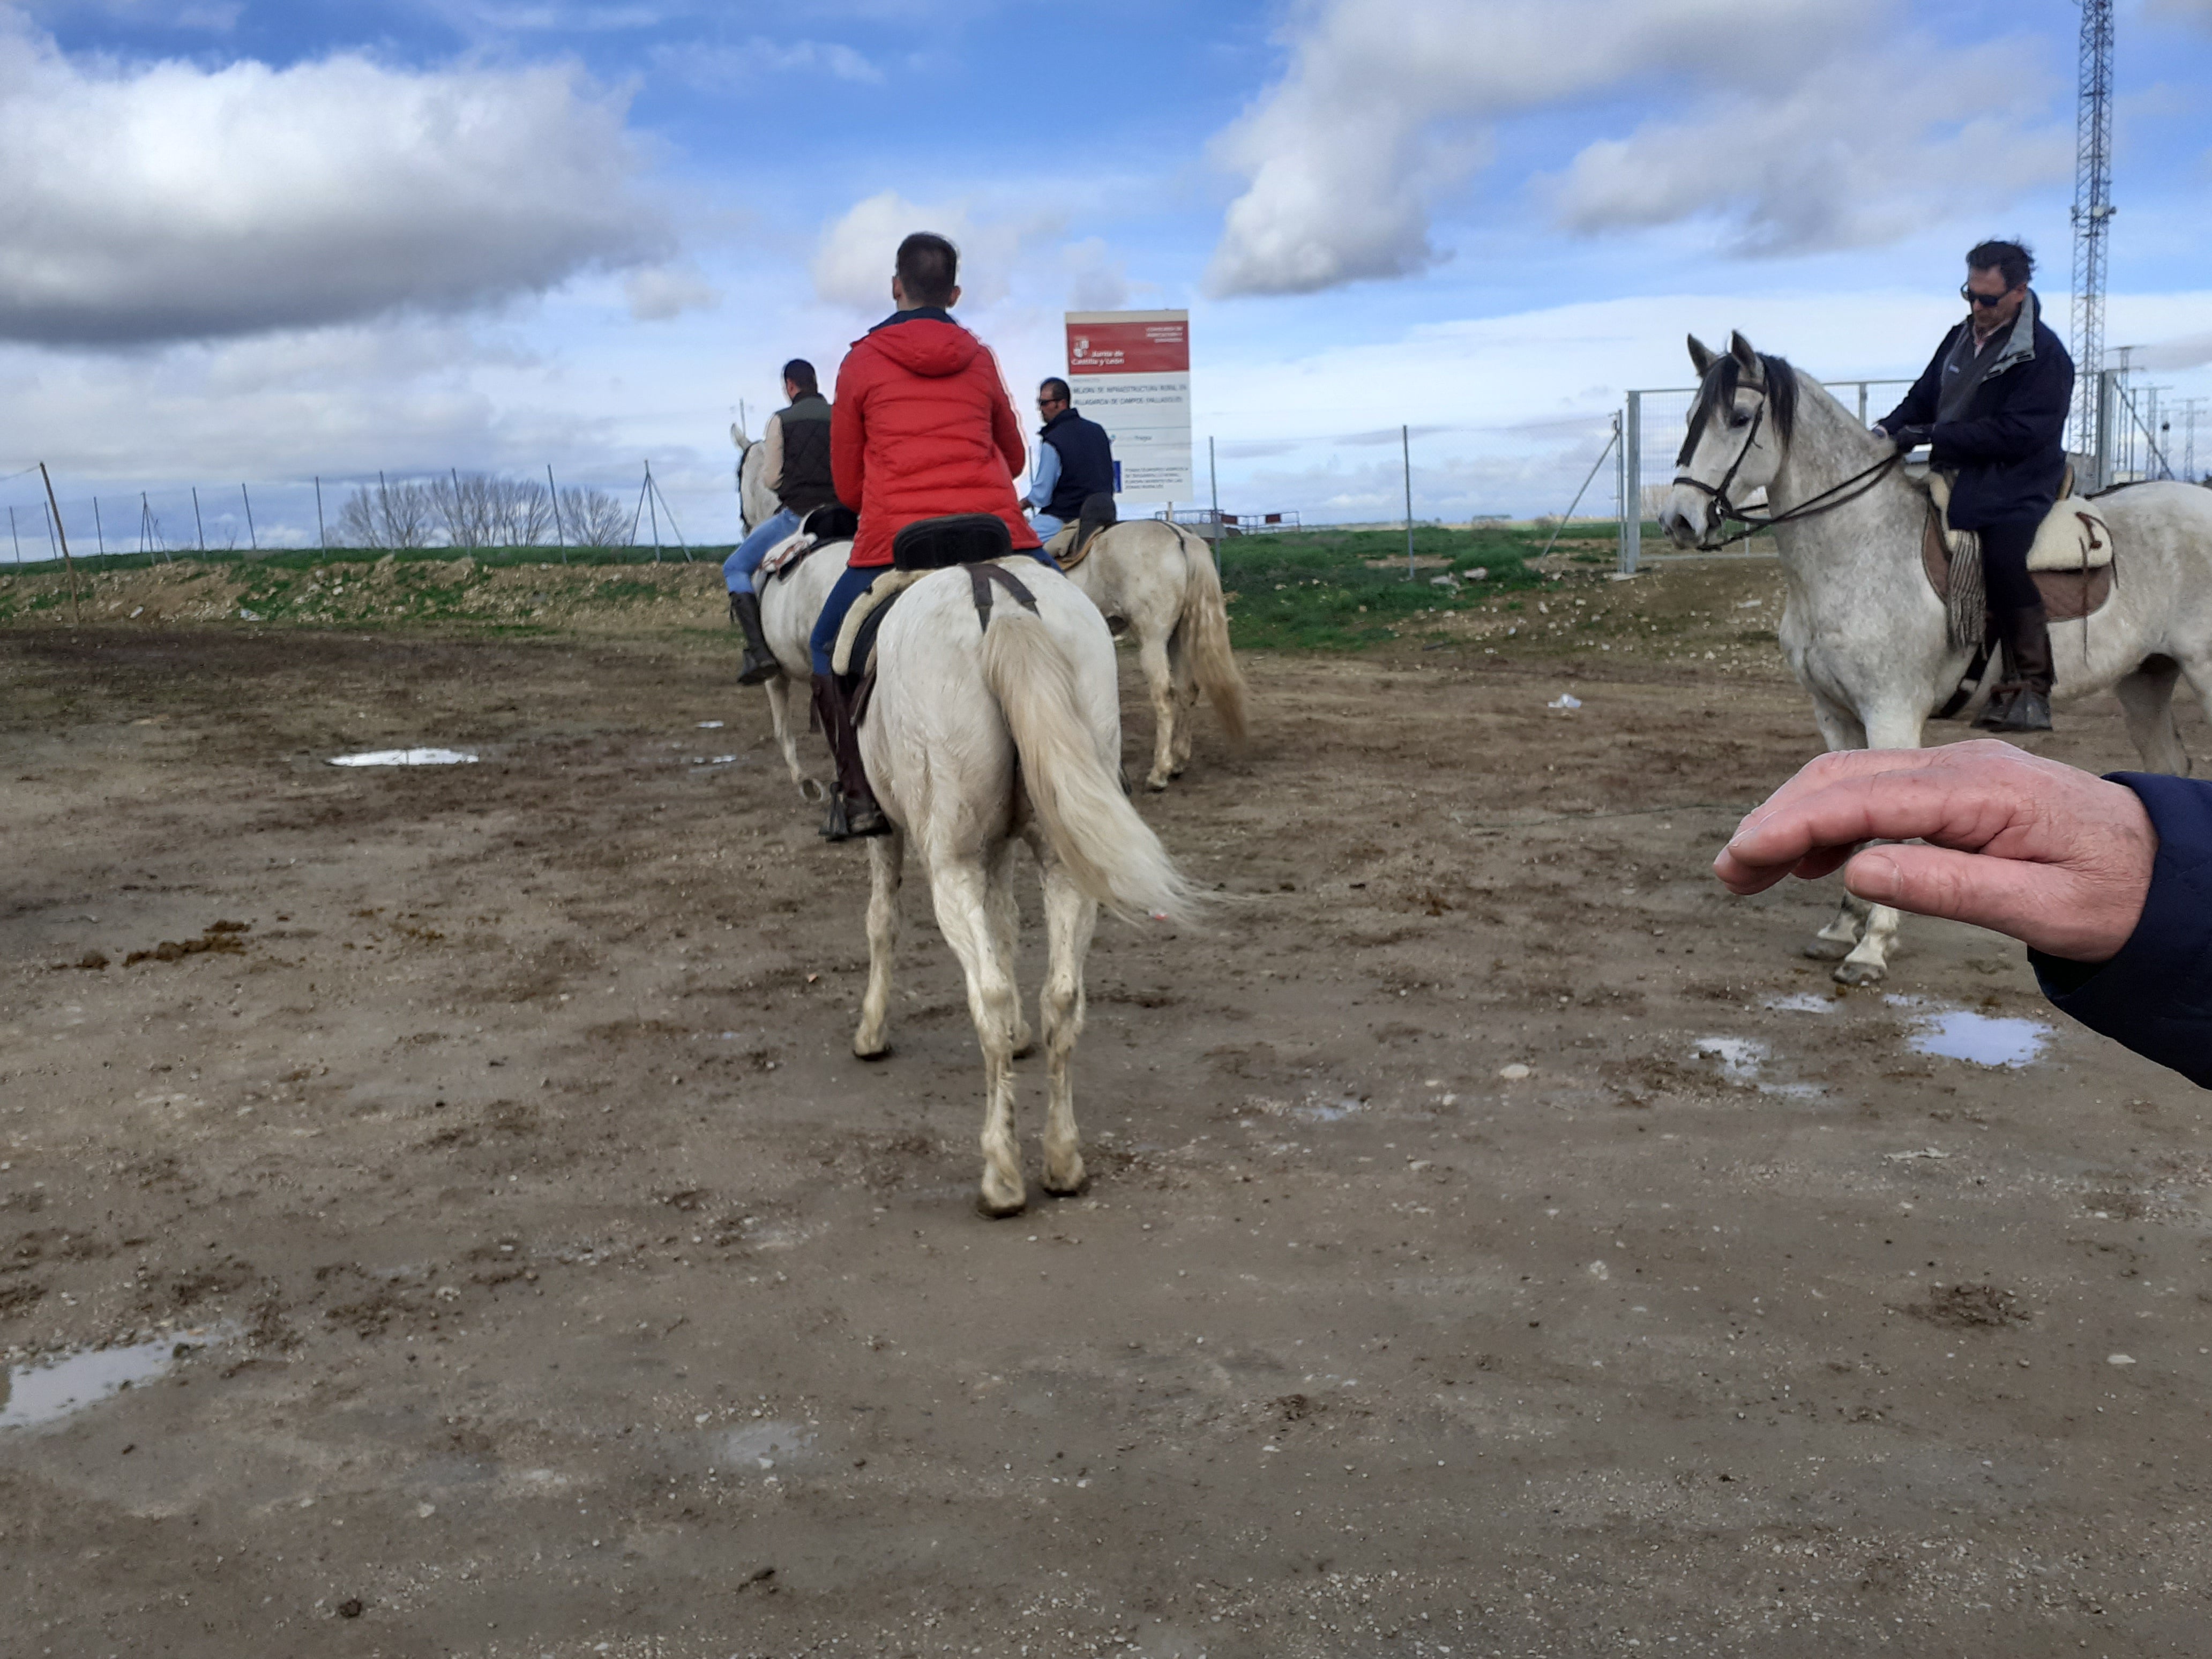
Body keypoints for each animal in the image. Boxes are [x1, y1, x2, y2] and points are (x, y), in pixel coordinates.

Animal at [850, 555, 1201, 1216]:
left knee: (986, 996)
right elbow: (1008, 923)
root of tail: (1001, 603)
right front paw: (1020, 1039)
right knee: (1060, 998)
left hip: (952, 863)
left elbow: (883, 922)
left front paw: (871, 1031)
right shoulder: (1004, 845)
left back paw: (1002, 1176)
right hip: (1066, 861)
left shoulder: (887, 830)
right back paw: (1063, 1161)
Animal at [1057, 519, 1249, 791]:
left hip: (1153, 640)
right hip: (1177, 638)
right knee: (1187, 690)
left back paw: (1160, 772)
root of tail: (1179, 537)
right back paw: (1178, 761)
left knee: (1164, 695)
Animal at [1661, 330, 2212, 985]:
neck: (1859, 547)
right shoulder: (1835, 716)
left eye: (1740, 418)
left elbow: (1884, 828)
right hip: (2146, 680)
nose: (1678, 521)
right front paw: (1842, 928)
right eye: (1690, 418)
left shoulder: (1891, 715)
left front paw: (1871, 948)